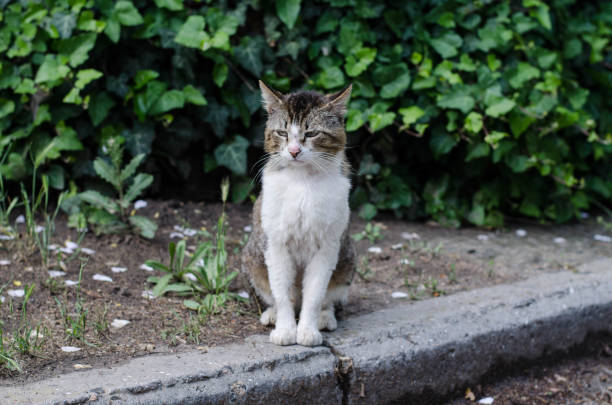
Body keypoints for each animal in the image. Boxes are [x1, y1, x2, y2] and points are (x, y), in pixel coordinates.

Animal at [239, 80, 354, 346]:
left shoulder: (328, 246)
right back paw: (271, 314)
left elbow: (314, 294)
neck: (302, 180)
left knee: (329, 298)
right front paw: (285, 329)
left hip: (347, 259)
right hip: (252, 257)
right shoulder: (276, 244)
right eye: (282, 133)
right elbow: (283, 293)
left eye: (311, 134)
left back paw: (325, 316)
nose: (293, 151)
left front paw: (307, 330)